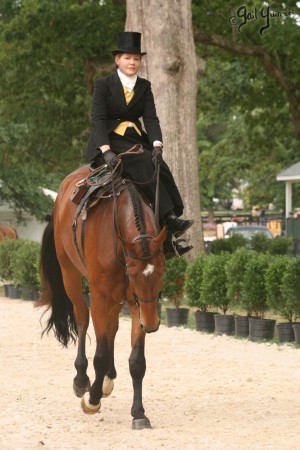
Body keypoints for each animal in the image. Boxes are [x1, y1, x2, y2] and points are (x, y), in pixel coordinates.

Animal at [38, 161, 166, 428]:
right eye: (133, 274)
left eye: (162, 272)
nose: (151, 324)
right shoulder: (100, 296)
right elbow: (100, 353)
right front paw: (92, 399)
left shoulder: (137, 303)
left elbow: (136, 361)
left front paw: (139, 413)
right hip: (70, 275)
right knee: (82, 319)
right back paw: (82, 379)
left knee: (111, 328)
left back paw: (108, 378)